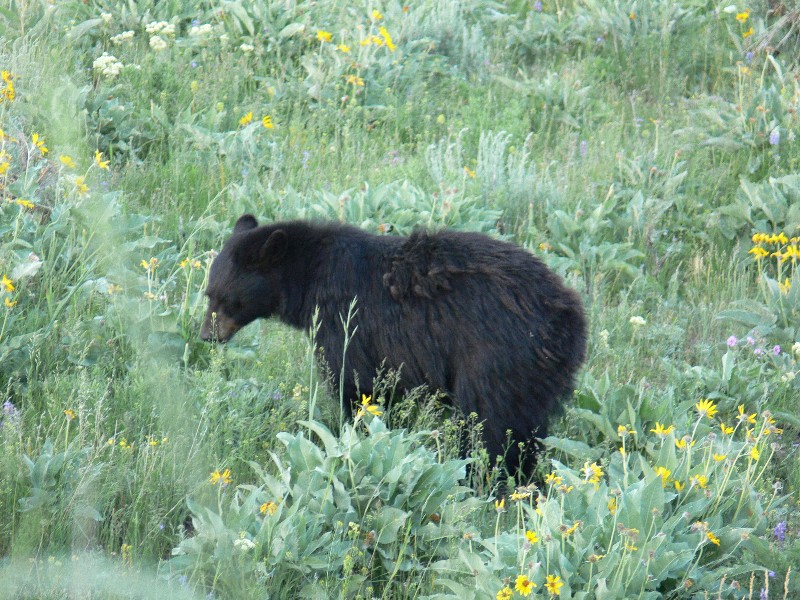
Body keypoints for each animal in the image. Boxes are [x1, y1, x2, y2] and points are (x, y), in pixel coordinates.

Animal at [203, 214, 584, 474]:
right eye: (208, 294)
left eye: (225, 299)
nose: (207, 335)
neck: (308, 278)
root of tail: (569, 314)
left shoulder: (346, 322)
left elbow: (356, 385)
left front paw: (358, 436)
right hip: (538, 375)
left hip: (497, 357)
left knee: (491, 421)